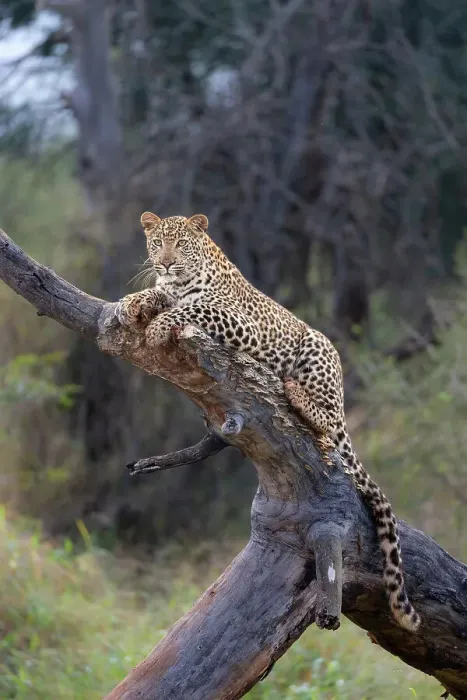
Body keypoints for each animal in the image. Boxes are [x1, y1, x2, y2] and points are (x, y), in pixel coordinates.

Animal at [116, 211, 421, 633]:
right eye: (158, 242)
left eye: (181, 244)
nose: (164, 263)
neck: (181, 280)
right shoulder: (168, 289)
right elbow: (157, 296)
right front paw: (130, 302)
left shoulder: (239, 323)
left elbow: (191, 309)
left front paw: (159, 325)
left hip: (317, 349)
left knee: (327, 423)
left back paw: (296, 394)